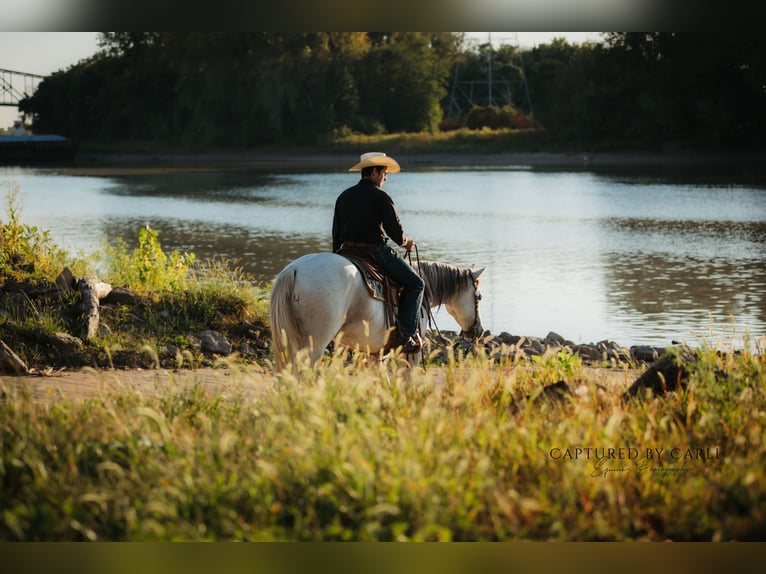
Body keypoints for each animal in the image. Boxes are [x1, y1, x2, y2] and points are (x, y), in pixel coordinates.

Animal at [269, 252, 486, 370]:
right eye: (479, 297)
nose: (479, 331)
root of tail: (294, 270)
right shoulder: (410, 355)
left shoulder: (375, 352)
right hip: (314, 344)